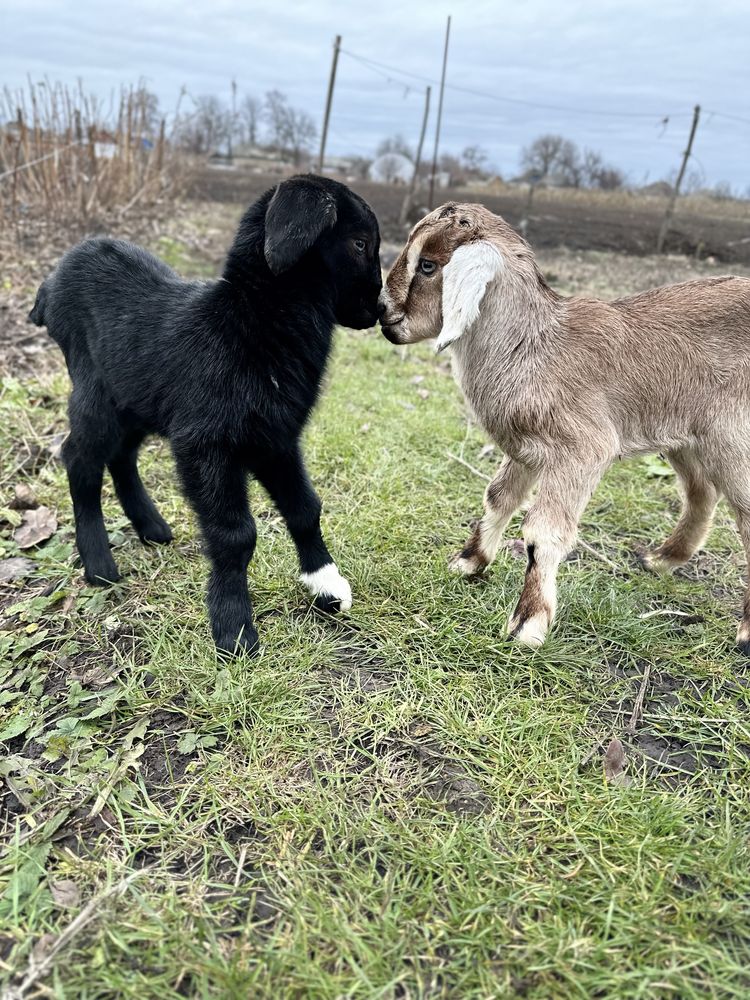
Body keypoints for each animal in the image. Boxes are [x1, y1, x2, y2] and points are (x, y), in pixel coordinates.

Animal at [28, 172, 382, 656]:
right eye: (360, 243)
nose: (381, 311)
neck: (248, 325)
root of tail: (51, 282)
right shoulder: (206, 443)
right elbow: (236, 535)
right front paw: (234, 629)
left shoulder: (276, 439)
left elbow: (305, 508)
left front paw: (325, 585)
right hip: (95, 392)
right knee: (79, 457)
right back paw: (99, 563)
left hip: (136, 398)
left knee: (122, 454)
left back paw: (152, 526)